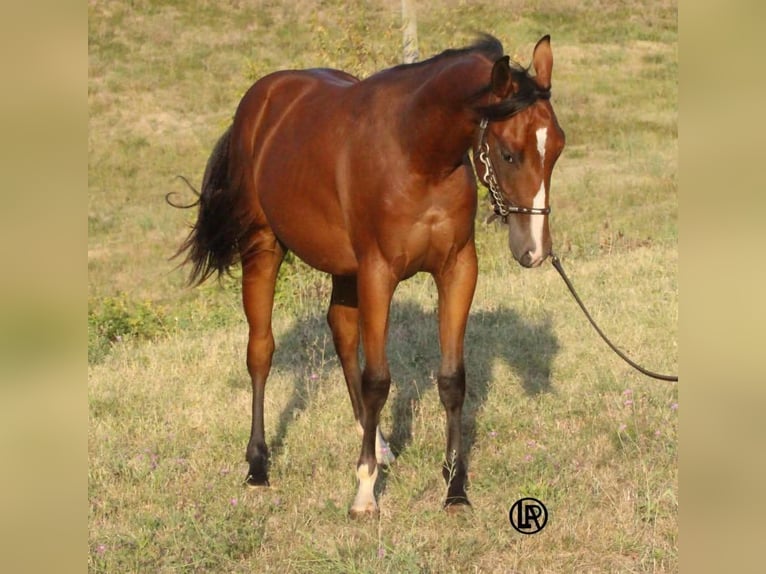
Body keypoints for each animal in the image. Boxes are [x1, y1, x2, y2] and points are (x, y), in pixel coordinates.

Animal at [171, 34, 565, 517]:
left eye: (558, 147)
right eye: (509, 153)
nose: (534, 250)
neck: (415, 152)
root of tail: (259, 102)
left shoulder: (457, 270)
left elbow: (452, 378)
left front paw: (455, 486)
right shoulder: (378, 273)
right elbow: (378, 379)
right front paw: (364, 492)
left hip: (344, 268)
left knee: (342, 334)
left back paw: (377, 444)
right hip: (263, 246)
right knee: (261, 351)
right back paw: (258, 466)